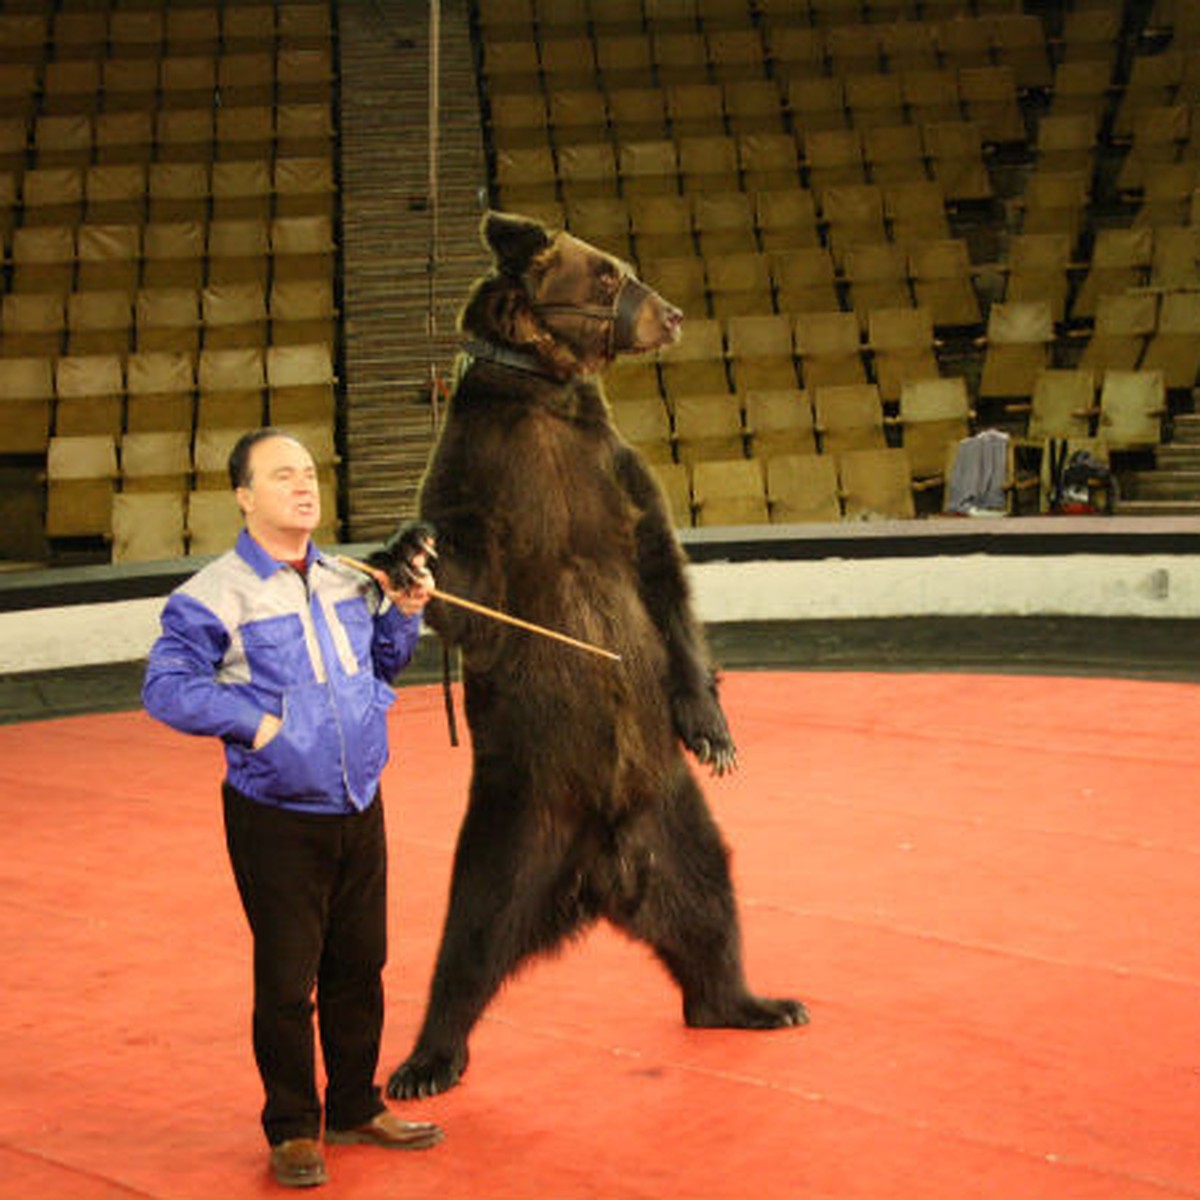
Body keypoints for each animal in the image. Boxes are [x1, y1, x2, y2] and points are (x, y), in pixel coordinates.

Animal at [374, 211, 806, 1099]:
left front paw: (713, 728)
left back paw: (752, 1001)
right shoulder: (481, 475)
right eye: (606, 274)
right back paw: (424, 1063)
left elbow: (662, 573)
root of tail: (604, 869)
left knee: (711, 903)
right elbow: (471, 581)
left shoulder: (615, 473)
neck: (540, 392)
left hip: (672, 817)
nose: (672, 314)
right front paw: (408, 554)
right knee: (468, 939)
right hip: (514, 830)